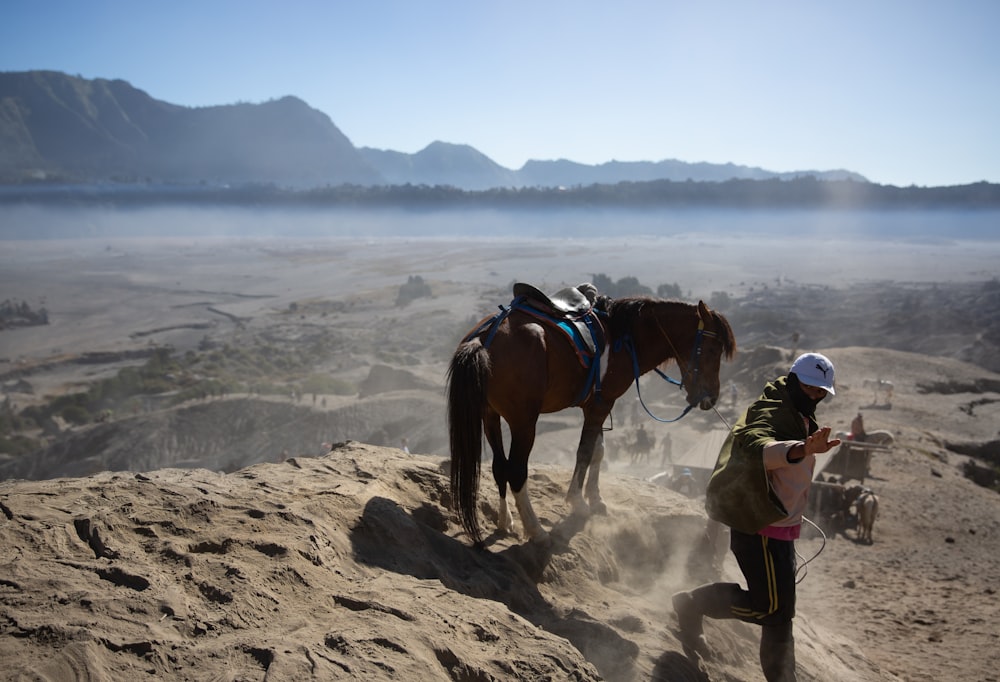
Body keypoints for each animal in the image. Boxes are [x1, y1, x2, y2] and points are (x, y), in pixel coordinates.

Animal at [446, 292, 736, 548]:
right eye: (712, 349)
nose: (710, 397)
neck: (624, 337)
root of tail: (484, 338)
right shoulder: (601, 404)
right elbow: (585, 452)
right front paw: (578, 502)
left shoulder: (597, 404)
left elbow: (599, 451)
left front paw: (595, 498)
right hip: (523, 422)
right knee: (516, 471)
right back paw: (537, 531)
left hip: (489, 415)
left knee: (499, 467)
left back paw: (506, 521)